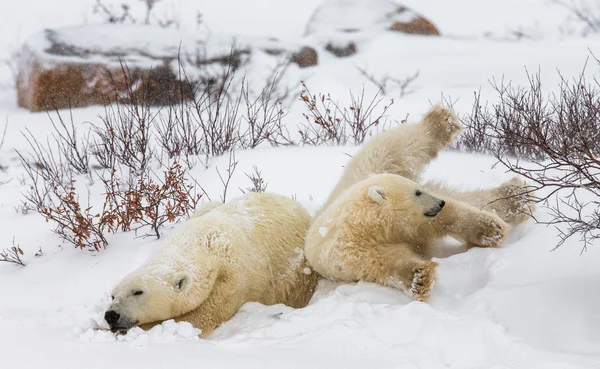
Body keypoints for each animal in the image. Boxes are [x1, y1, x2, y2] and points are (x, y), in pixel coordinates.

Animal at [104, 193, 318, 336]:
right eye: (113, 295)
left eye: (138, 292)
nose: (111, 315)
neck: (207, 242)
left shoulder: (234, 279)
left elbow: (203, 316)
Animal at [308, 105, 532, 300]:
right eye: (417, 192)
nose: (439, 203)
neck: (365, 225)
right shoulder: (350, 254)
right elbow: (385, 263)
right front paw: (419, 279)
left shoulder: (414, 220)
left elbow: (447, 218)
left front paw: (488, 229)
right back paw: (517, 198)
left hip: (373, 165)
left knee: (398, 146)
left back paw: (441, 123)